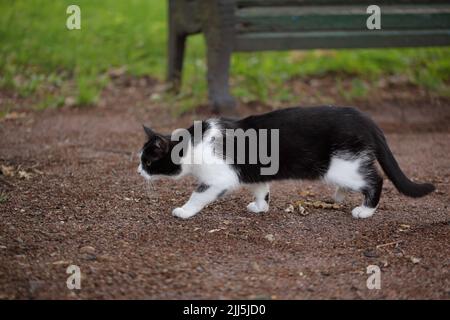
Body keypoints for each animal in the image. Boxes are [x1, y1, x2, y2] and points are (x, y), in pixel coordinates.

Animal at [138, 106, 436, 219]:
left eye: (148, 161)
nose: (138, 170)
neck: (194, 143)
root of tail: (365, 118)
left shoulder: (219, 178)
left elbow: (198, 195)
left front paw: (184, 211)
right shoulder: (253, 173)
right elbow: (262, 189)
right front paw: (260, 207)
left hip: (342, 165)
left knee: (375, 179)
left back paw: (365, 210)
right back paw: (339, 196)